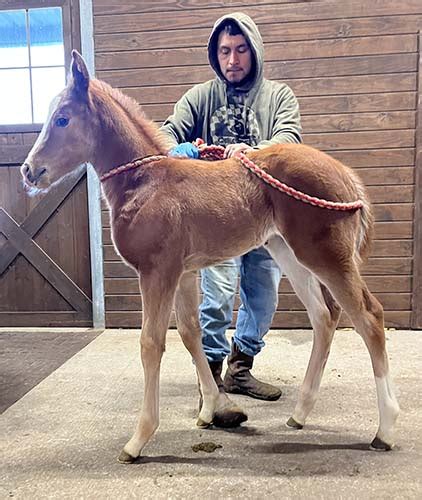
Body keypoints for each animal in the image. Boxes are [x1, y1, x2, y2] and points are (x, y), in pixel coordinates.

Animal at [21, 50, 398, 460]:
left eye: (62, 118)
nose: (29, 170)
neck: (144, 183)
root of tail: (346, 175)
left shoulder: (156, 272)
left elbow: (151, 344)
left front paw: (138, 439)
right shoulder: (184, 273)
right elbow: (191, 333)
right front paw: (213, 409)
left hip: (327, 256)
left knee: (369, 317)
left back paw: (385, 429)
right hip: (289, 253)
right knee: (324, 316)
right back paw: (299, 413)